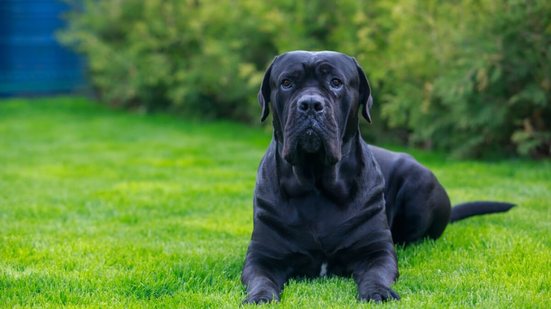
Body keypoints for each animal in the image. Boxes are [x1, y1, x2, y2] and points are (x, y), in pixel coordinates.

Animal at [244, 51, 516, 304]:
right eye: (287, 82)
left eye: (336, 82)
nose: (311, 104)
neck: (316, 185)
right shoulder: (262, 256)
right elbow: (260, 278)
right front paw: (260, 297)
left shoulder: (376, 251)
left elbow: (377, 273)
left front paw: (379, 292)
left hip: (420, 182)